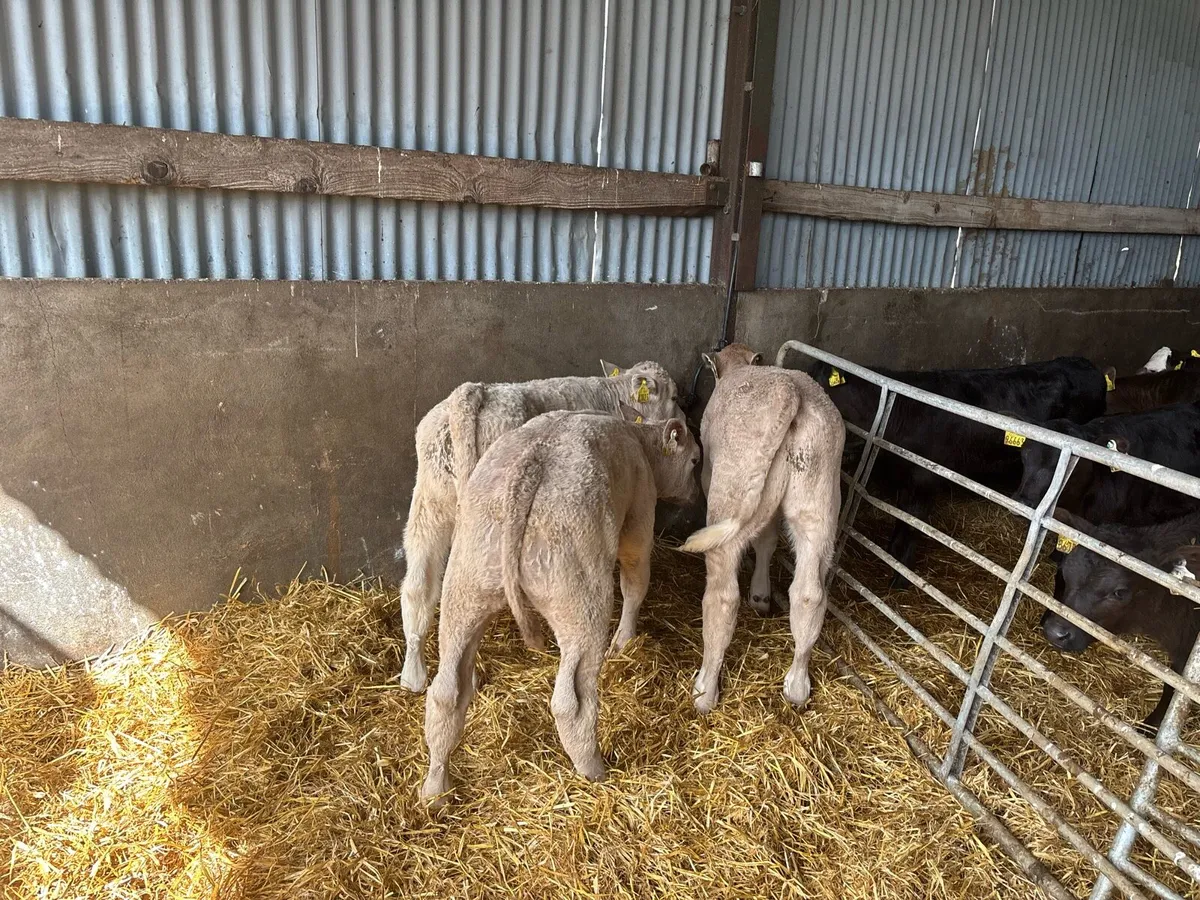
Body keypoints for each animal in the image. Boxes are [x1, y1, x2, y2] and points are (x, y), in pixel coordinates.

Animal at [399, 361, 685, 692]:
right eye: (675, 396)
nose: (685, 419)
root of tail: (472, 393)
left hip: (430, 502)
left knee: (419, 585)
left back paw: (413, 675)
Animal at [420, 408, 701, 804]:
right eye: (694, 461)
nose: (695, 496)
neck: (638, 441)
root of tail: (528, 471)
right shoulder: (640, 514)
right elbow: (635, 583)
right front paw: (625, 640)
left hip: (465, 588)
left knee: (446, 694)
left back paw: (435, 788)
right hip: (579, 602)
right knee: (571, 703)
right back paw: (595, 770)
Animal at [681, 343, 844, 714]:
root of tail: (790, 390)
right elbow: (767, 541)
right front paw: (761, 595)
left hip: (730, 491)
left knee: (723, 597)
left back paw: (705, 690)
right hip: (818, 503)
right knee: (809, 594)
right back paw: (797, 687)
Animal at [802, 356, 1106, 584]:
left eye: (820, 388)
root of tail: (1083, 362)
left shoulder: (924, 481)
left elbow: (911, 525)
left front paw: (900, 573)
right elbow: (901, 520)